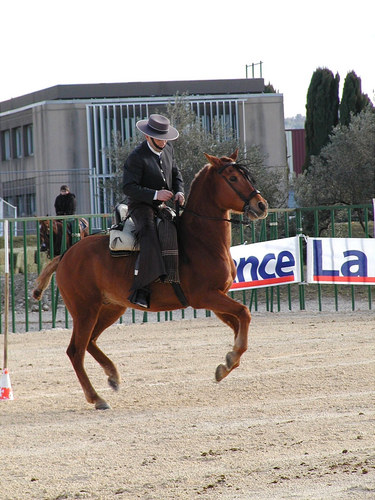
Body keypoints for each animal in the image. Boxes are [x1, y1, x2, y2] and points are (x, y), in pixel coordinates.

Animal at [32, 152, 268, 410]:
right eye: (233, 178)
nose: (261, 205)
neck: (201, 241)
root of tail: (66, 255)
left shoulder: (217, 298)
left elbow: (238, 323)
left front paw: (226, 364)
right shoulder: (206, 297)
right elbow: (244, 313)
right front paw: (231, 358)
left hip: (110, 308)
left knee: (90, 342)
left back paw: (112, 375)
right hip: (86, 311)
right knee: (76, 350)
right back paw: (97, 398)